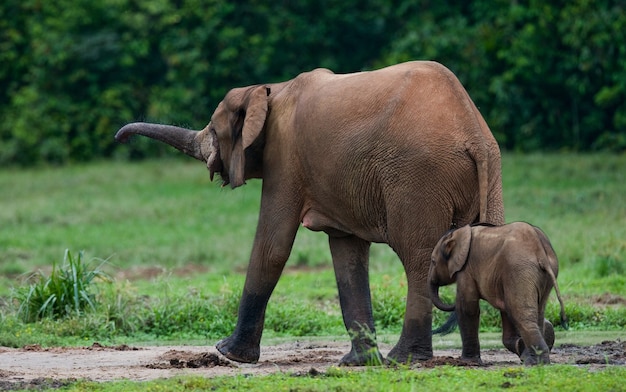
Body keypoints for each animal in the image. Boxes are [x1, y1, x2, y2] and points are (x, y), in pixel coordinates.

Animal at [114, 60, 502, 364]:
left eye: (212, 129)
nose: (121, 138)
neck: (269, 91)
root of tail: (472, 134)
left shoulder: (284, 158)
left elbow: (272, 246)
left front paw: (228, 353)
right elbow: (346, 255)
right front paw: (357, 363)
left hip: (417, 176)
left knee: (419, 259)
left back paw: (404, 358)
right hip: (489, 174)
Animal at [428, 222, 564, 366]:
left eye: (433, 261)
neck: (458, 233)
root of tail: (540, 252)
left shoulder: (466, 269)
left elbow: (467, 308)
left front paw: (468, 362)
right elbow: (504, 310)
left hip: (520, 269)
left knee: (520, 312)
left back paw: (533, 363)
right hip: (543, 273)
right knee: (536, 311)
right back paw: (539, 361)